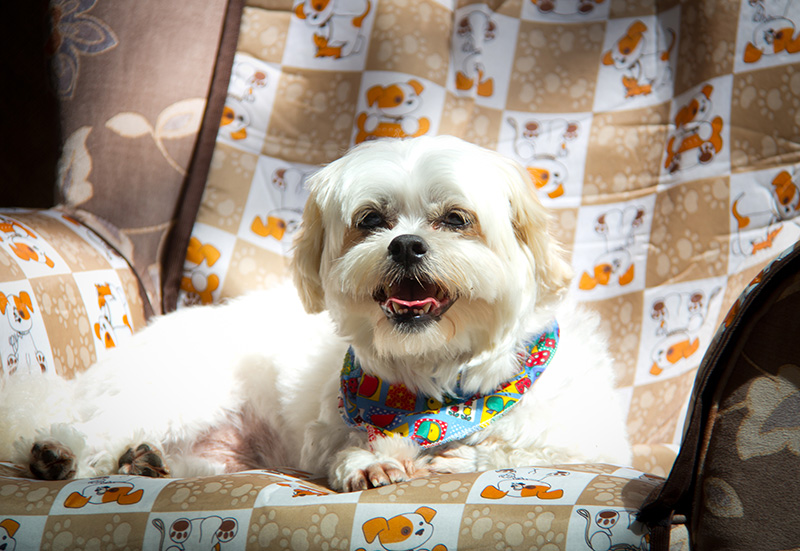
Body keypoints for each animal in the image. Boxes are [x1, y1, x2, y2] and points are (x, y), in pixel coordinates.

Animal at [3, 137, 636, 492]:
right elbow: (357, 446)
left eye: (456, 219)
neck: (433, 386)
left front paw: (452, 456)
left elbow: (513, 448)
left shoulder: (589, 444)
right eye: (371, 220)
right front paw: (373, 462)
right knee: (94, 429)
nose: (406, 245)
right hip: (180, 389)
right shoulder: (341, 426)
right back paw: (61, 454)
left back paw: (141, 463)